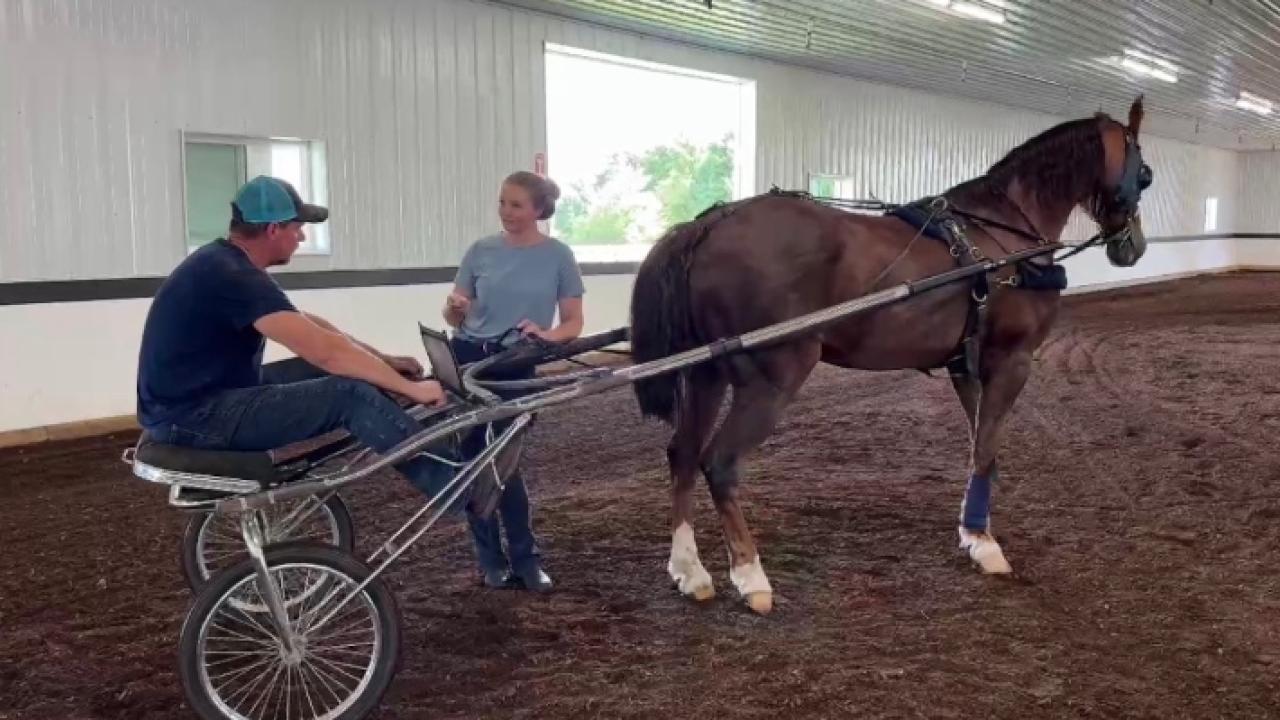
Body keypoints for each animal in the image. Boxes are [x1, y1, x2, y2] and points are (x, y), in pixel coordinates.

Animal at [628, 96, 1154, 615]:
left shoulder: (965, 365)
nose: (1133, 246)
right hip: (771, 378)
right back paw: (750, 575)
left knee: (682, 454)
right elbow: (986, 448)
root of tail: (708, 224)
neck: (1003, 236)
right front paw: (986, 545)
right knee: (719, 463)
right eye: (1144, 172)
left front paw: (973, 531)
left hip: (705, 375)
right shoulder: (1012, 360)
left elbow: (979, 448)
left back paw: (690, 569)